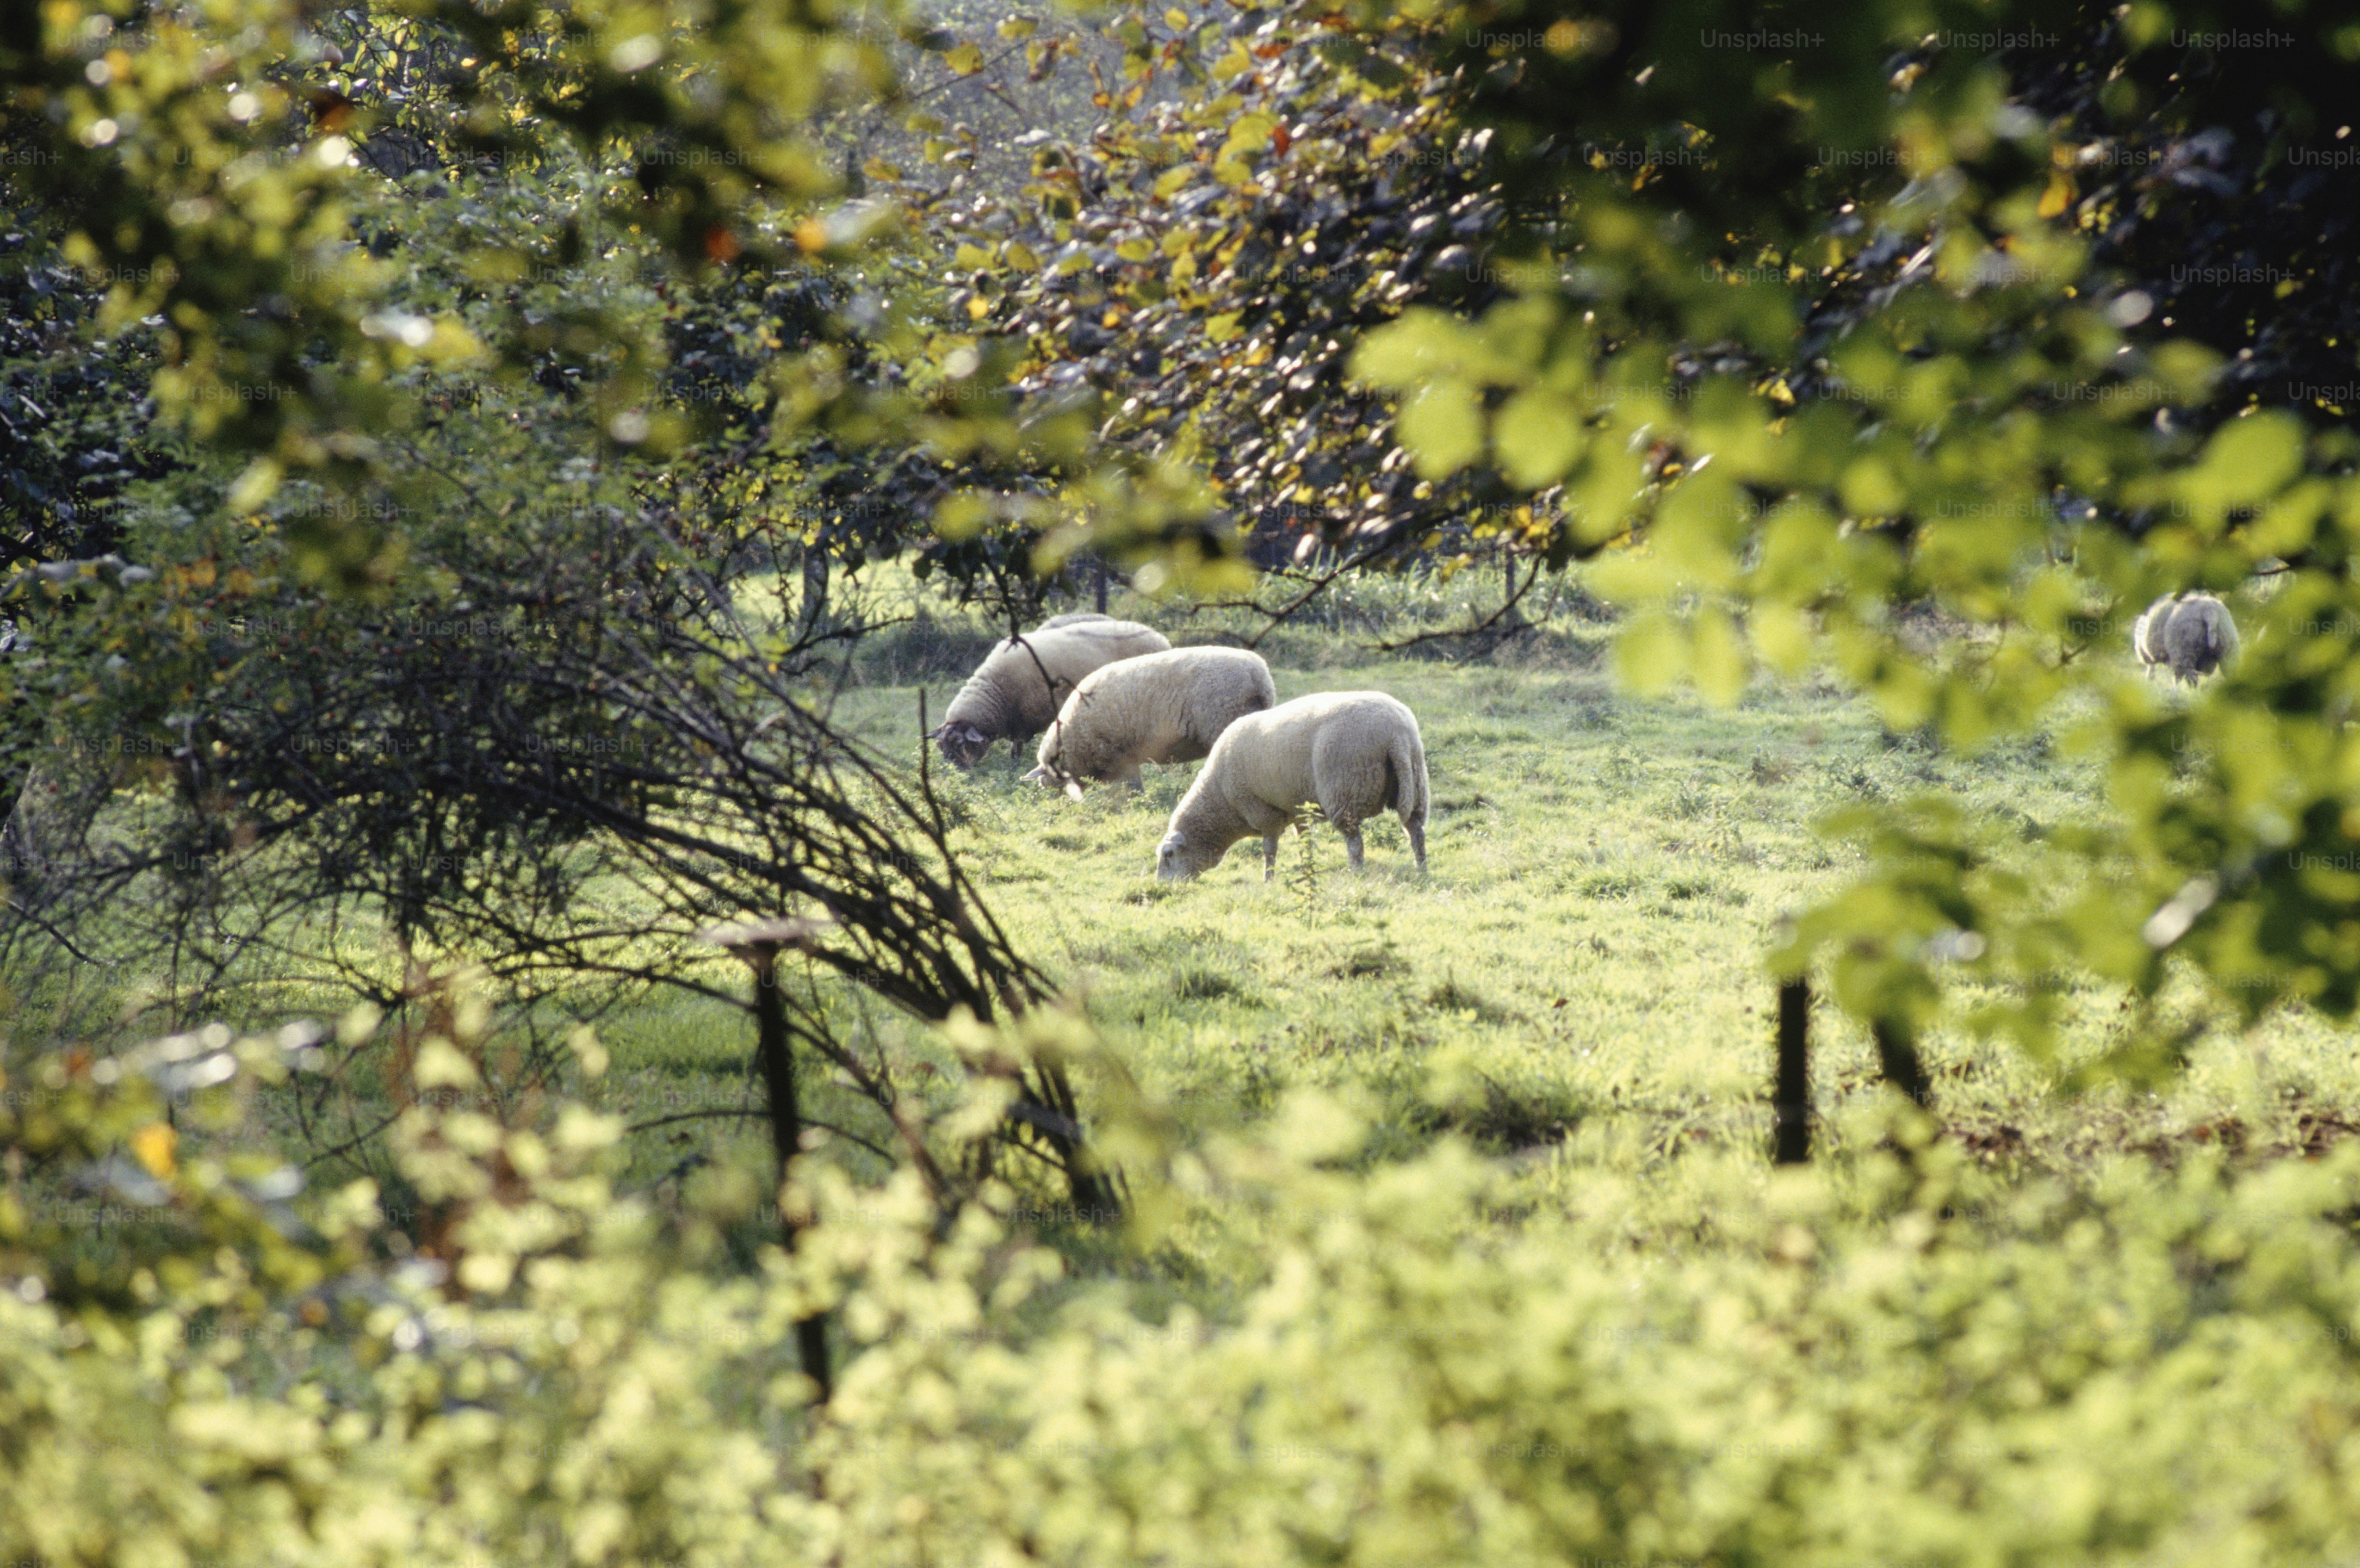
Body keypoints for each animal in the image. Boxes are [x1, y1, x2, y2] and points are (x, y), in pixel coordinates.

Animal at [930, 616, 1170, 768]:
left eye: (961, 744)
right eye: (940, 746)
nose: (953, 773)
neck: (997, 691)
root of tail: (1159, 637)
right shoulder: (1020, 723)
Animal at [1155, 690, 1429, 881]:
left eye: (1169, 855)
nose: (1163, 887)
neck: (1221, 799)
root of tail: (1395, 732)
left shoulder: (1263, 811)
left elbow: (1269, 850)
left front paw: (1268, 879)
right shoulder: (1298, 810)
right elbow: (1304, 842)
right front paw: (1306, 871)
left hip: (1345, 792)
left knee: (1355, 843)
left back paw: (1356, 874)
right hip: (1415, 784)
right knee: (1416, 832)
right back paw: (1422, 871)